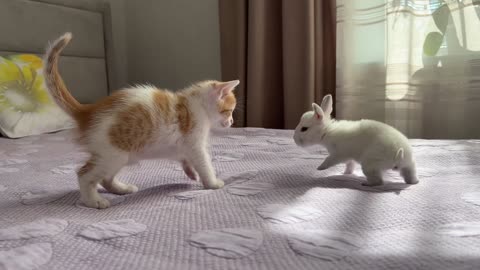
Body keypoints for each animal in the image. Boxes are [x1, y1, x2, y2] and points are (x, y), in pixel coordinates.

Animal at [44, 33, 239, 209]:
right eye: (229, 111)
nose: (231, 122)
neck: (197, 105)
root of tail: (88, 110)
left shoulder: (183, 146)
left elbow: (184, 158)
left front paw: (191, 172)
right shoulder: (194, 143)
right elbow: (204, 163)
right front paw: (212, 182)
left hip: (120, 156)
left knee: (105, 178)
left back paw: (121, 189)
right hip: (113, 153)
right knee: (84, 174)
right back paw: (93, 201)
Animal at [290, 94, 418, 186]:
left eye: (304, 129)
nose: (294, 139)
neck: (327, 131)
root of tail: (398, 155)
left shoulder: (338, 154)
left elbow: (329, 160)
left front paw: (320, 168)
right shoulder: (349, 158)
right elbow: (350, 165)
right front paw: (346, 173)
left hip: (369, 165)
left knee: (378, 182)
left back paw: (366, 183)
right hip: (408, 165)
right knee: (409, 175)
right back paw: (414, 182)